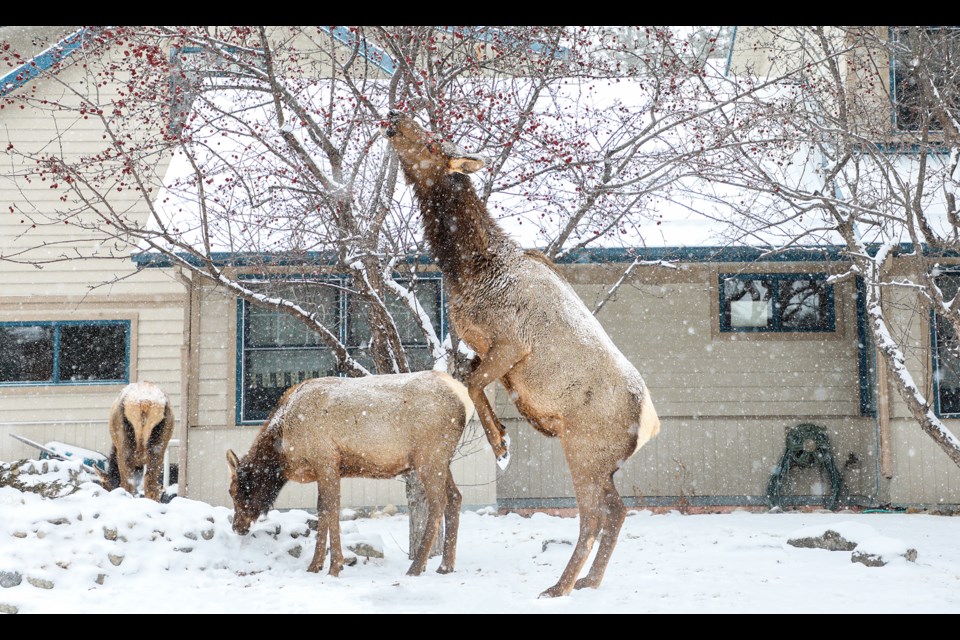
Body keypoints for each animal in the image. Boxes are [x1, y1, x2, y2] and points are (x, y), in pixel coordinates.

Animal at [229, 370, 476, 576]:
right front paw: (315, 566)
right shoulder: (325, 468)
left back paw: (416, 567)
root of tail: (464, 398)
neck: (284, 448)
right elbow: (322, 511)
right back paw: (445, 566)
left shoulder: (326, 459)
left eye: (235, 491)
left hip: (430, 454)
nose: (236, 527)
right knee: (455, 497)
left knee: (438, 502)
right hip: (441, 460)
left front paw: (334, 567)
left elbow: (331, 510)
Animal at [382, 112, 660, 596]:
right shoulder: (480, 346)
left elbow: (473, 383)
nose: (397, 115)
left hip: (584, 448)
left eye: (435, 143)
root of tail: (649, 423)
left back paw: (560, 585)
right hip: (603, 462)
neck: (468, 270)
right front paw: (501, 437)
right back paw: (589, 581)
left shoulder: (511, 342)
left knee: (592, 515)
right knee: (618, 510)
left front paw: (501, 443)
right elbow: (472, 382)